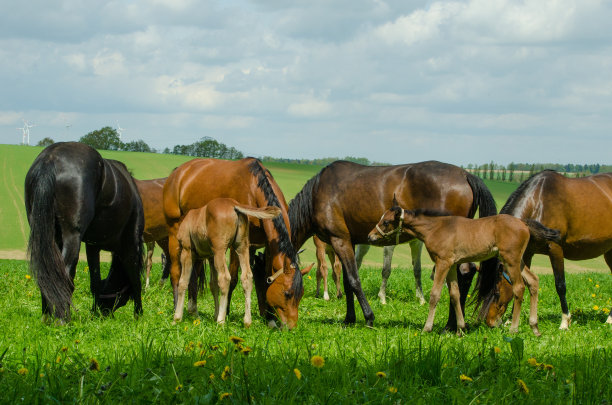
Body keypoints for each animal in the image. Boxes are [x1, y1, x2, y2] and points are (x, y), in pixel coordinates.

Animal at [25, 142, 145, 322]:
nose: (105, 311)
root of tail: (49, 159)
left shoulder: (92, 246)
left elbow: (95, 282)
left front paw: (94, 314)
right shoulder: (130, 246)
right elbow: (136, 280)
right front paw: (139, 315)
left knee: (47, 274)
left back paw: (47, 317)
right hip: (72, 237)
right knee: (64, 274)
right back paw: (62, 319)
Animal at [172, 197, 282, 326]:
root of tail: (234, 204)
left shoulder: (187, 251)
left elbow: (183, 282)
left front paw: (177, 318)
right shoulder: (211, 256)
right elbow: (213, 284)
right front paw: (215, 314)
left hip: (219, 249)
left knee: (225, 277)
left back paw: (221, 321)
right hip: (242, 246)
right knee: (246, 276)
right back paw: (247, 321)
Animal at [288, 159, 498, 326]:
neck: (318, 193)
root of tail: (465, 174)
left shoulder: (339, 240)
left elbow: (354, 280)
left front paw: (369, 317)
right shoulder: (349, 242)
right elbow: (348, 281)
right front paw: (349, 319)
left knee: (462, 274)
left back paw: (451, 326)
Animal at [476, 170, 612, 328]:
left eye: (496, 292)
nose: (489, 322)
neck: (538, 202)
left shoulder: (555, 248)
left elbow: (560, 285)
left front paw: (565, 321)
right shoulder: (527, 253)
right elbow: (524, 283)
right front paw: (511, 319)